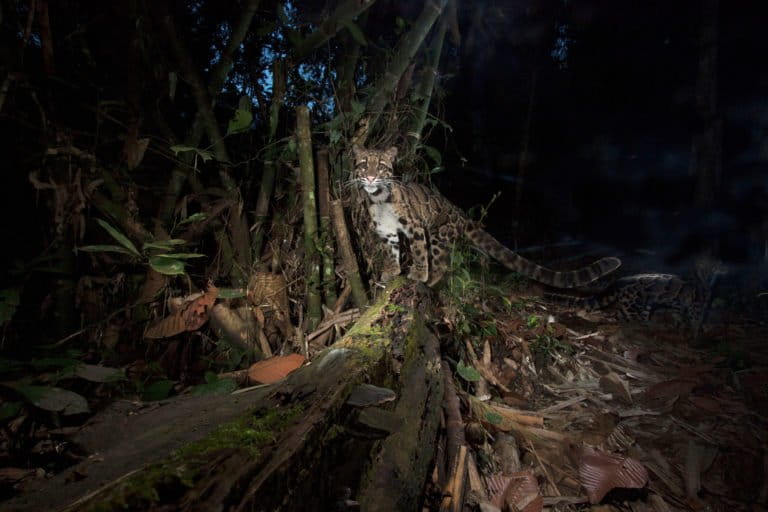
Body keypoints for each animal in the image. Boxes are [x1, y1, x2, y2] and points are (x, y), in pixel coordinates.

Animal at [352, 144, 620, 288]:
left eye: (382, 166)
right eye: (364, 164)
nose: (371, 177)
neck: (379, 200)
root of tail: (458, 212)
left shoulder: (416, 226)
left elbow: (418, 252)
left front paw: (417, 274)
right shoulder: (386, 231)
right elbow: (391, 251)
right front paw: (391, 270)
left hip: (439, 233)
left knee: (441, 261)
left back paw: (432, 279)